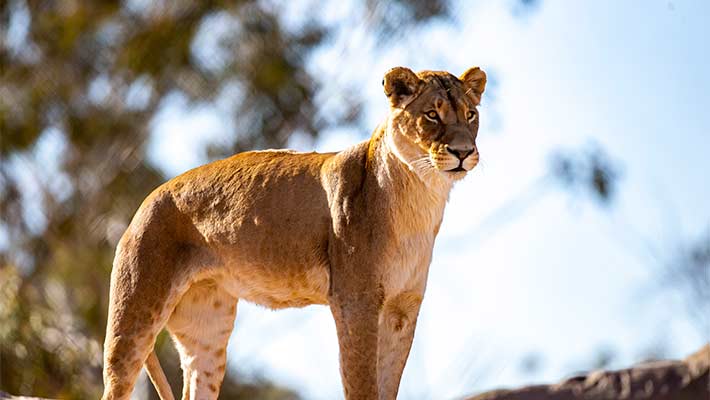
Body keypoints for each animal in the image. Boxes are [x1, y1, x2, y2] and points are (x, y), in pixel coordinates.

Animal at [100, 66, 486, 400]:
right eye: (432, 115)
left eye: (470, 115)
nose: (463, 152)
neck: (421, 196)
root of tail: (144, 202)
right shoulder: (356, 302)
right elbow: (362, 385)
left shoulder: (403, 309)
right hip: (134, 316)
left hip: (208, 329)